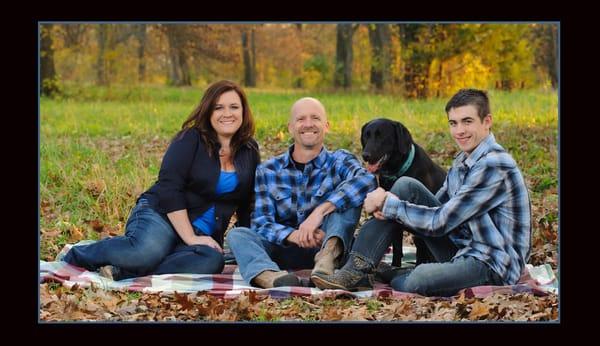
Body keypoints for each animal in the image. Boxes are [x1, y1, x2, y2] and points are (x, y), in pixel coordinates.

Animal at [360, 119, 446, 268]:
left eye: (381, 136)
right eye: (366, 135)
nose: (365, 155)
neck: (396, 172)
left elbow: (420, 250)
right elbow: (397, 247)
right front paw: (395, 267)